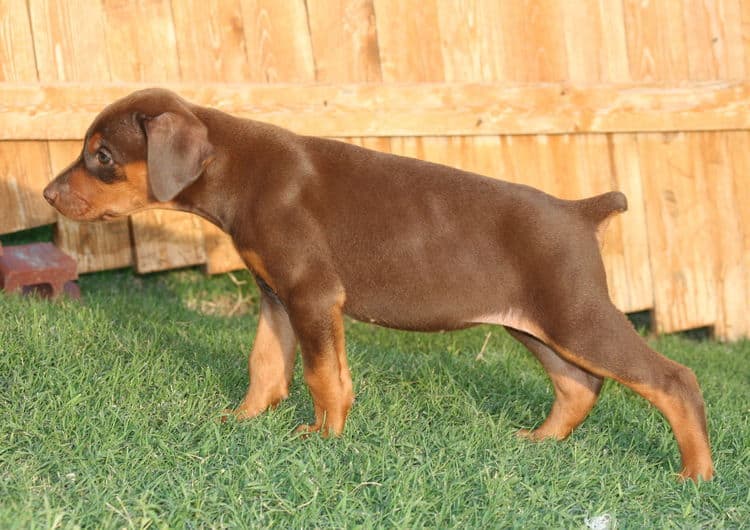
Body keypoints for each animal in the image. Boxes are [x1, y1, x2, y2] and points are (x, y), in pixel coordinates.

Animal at [42, 89, 716, 478]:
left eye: (102, 155)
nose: (47, 194)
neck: (239, 170)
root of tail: (581, 211)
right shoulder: (277, 297)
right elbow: (266, 364)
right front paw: (243, 421)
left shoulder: (312, 293)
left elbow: (323, 376)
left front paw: (323, 438)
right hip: (539, 325)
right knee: (579, 385)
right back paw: (539, 442)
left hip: (576, 315)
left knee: (672, 380)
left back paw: (697, 475)